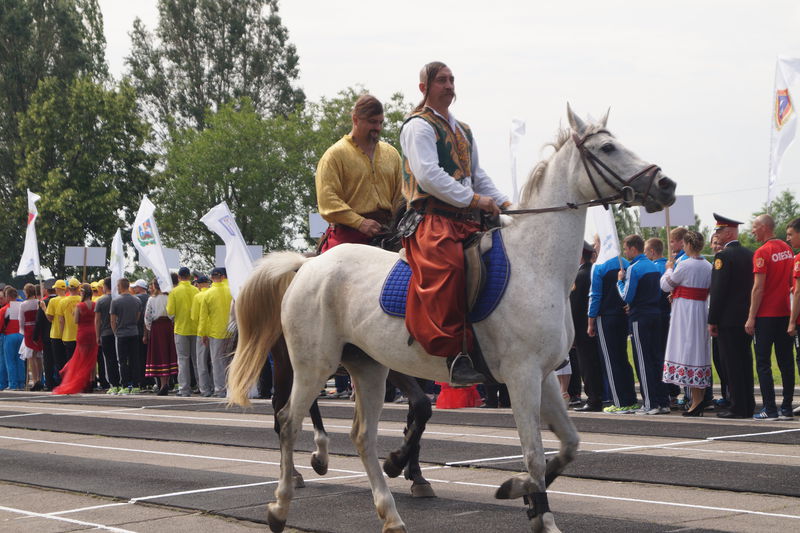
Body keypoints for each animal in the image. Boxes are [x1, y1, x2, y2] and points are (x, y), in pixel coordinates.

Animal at [230, 106, 676, 528]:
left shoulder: (546, 374)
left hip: (367, 367)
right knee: (288, 420)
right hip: (311, 364)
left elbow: (568, 445)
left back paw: (390, 513)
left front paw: (522, 494)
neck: (536, 263)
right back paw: (283, 503)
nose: (666, 184)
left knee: (361, 436)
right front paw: (539, 512)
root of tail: (306, 265)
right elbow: (533, 455)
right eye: (608, 148)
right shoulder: (521, 376)